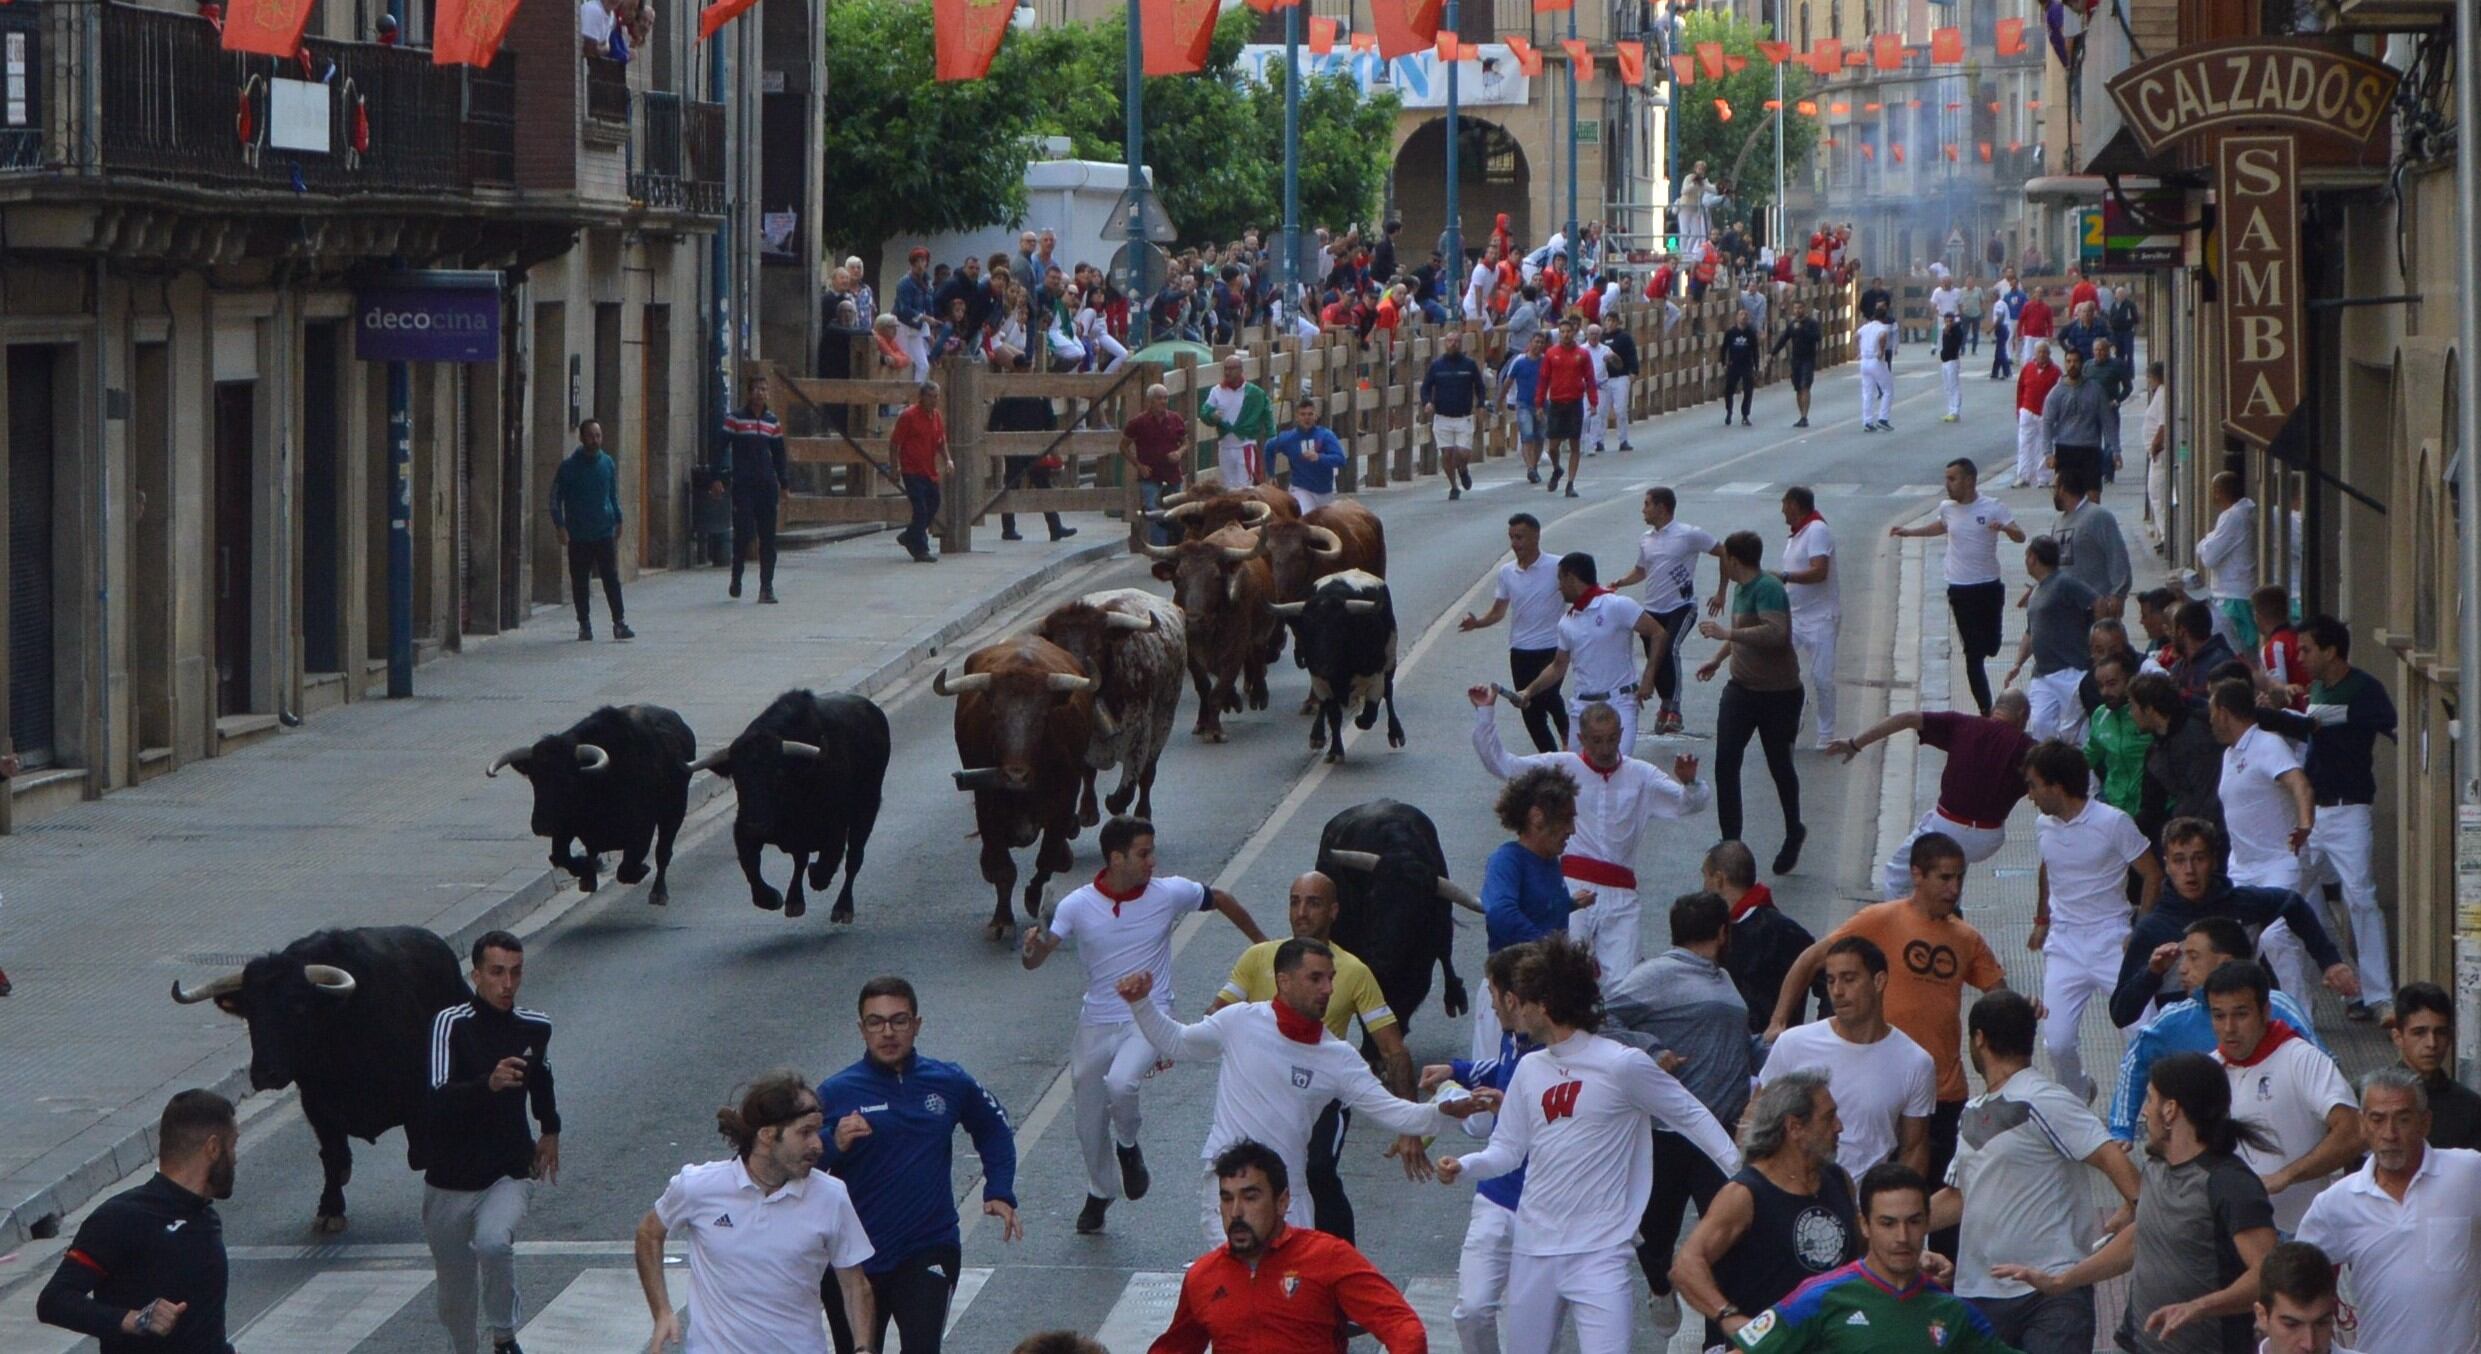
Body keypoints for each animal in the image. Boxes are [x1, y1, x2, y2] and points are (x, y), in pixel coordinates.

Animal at [932, 634, 1096, 937]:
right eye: (994, 715)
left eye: (1043, 716)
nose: (1015, 775)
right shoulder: (986, 805)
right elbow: (1002, 867)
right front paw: (1002, 920)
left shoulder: (1065, 800)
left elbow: (1047, 857)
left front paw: (1033, 898)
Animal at [1136, 520, 1270, 743]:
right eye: (1178, 576)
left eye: (1216, 576)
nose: (1193, 620)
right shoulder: (1191, 653)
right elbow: (1205, 686)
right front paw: (1205, 721)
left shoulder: (1236, 649)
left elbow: (1219, 688)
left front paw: (1215, 730)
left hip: (1262, 632)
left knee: (1258, 656)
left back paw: (1259, 695)